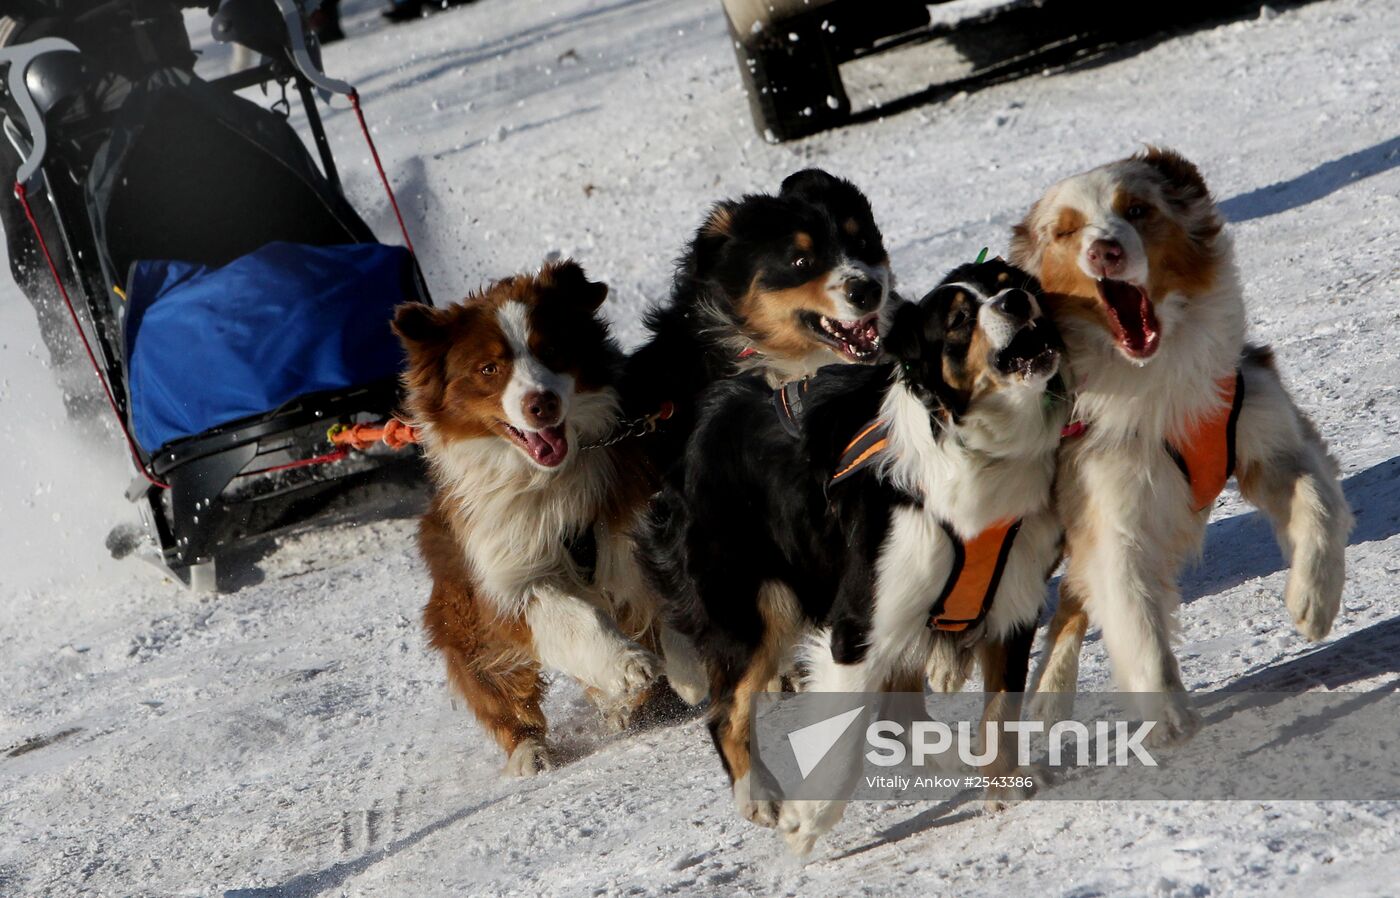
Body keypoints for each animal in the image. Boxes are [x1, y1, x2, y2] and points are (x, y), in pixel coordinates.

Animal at [394, 260, 705, 778]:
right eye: (489, 369)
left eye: (552, 350)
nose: (541, 404)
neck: (551, 479)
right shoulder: (508, 574)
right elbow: (567, 615)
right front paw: (628, 664)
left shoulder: (643, 512)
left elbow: (673, 589)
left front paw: (691, 669)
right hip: (459, 610)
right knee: (495, 685)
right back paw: (531, 749)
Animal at [641, 254, 1064, 851]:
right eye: (959, 319)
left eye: (1011, 286)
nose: (1015, 303)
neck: (976, 458)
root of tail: (704, 415)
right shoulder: (858, 624)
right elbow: (841, 743)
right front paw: (806, 823)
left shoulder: (1012, 601)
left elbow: (1000, 712)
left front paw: (1003, 791)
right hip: (750, 608)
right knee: (726, 713)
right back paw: (761, 799)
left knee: (900, 715)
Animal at [1008, 145, 1355, 734]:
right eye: (1066, 230)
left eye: (1137, 209)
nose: (1103, 251)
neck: (1158, 378)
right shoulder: (1112, 511)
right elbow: (1134, 617)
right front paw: (1168, 716)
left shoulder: (1270, 437)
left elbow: (1319, 503)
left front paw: (1313, 600)